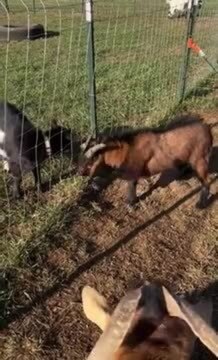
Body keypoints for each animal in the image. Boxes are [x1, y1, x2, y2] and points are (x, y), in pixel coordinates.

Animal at [78, 115, 213, 208]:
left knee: (206, 181)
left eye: (90, 162)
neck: (126, 149)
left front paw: (130, 204)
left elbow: (131, 187)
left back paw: (201, 204)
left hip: (200, 159)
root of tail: (207, 129)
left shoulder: (133, 172)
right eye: (81, 159)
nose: (79, 172)